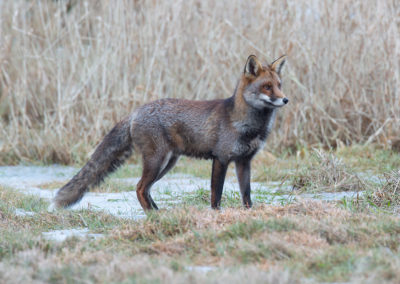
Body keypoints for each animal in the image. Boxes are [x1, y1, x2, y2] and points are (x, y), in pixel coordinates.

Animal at [54, 55, 290, 211]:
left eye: (279, 85)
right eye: (267, 87)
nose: (285, 99)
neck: (247, 125)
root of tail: (136, 111)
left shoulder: (244, 161)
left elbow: (246, 193)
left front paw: (249, 212)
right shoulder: (221, 158)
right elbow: (217, 193)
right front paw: (216, 214)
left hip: (167, 163)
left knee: (145, 189)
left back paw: (158, 213)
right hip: (158, 161)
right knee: (140, 187)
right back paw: (153, 215)